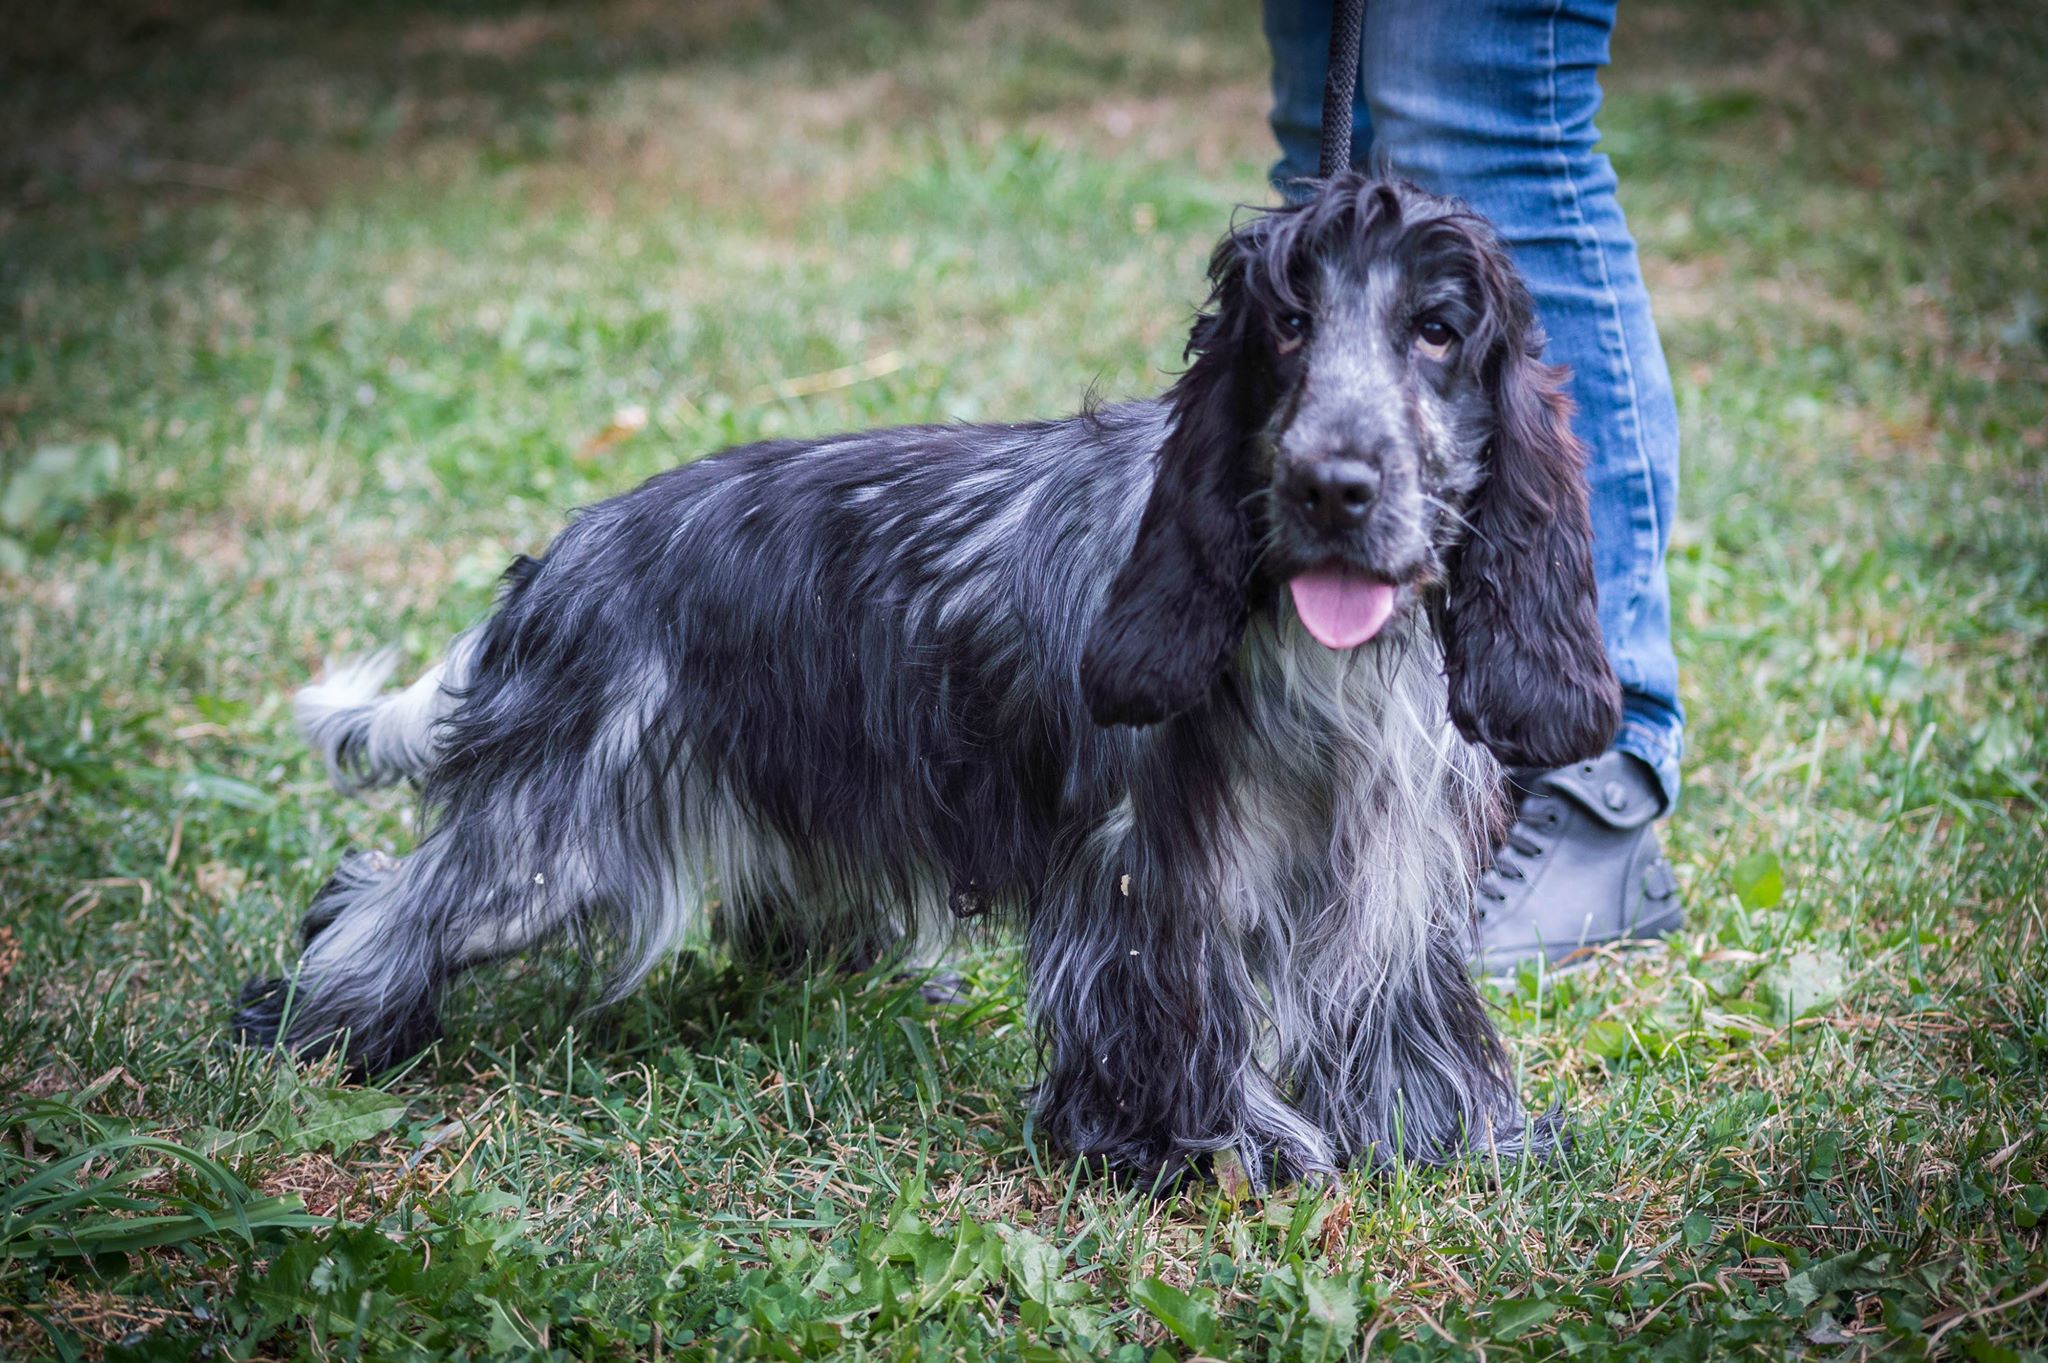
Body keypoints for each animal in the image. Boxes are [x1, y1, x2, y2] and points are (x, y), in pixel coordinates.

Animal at [235, 174, 1613, 1186]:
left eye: (1435, 329)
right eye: (1285, 324)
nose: (1333, 487)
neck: (1311, 643)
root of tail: (559, 562)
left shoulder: (1390, 859)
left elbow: (1405, 1015)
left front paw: (1456, 1140)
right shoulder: (1146, 876)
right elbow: (1175, 1024)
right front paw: (1212, 1148)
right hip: (549, 835)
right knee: (385, 909)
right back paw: (317, 1028)